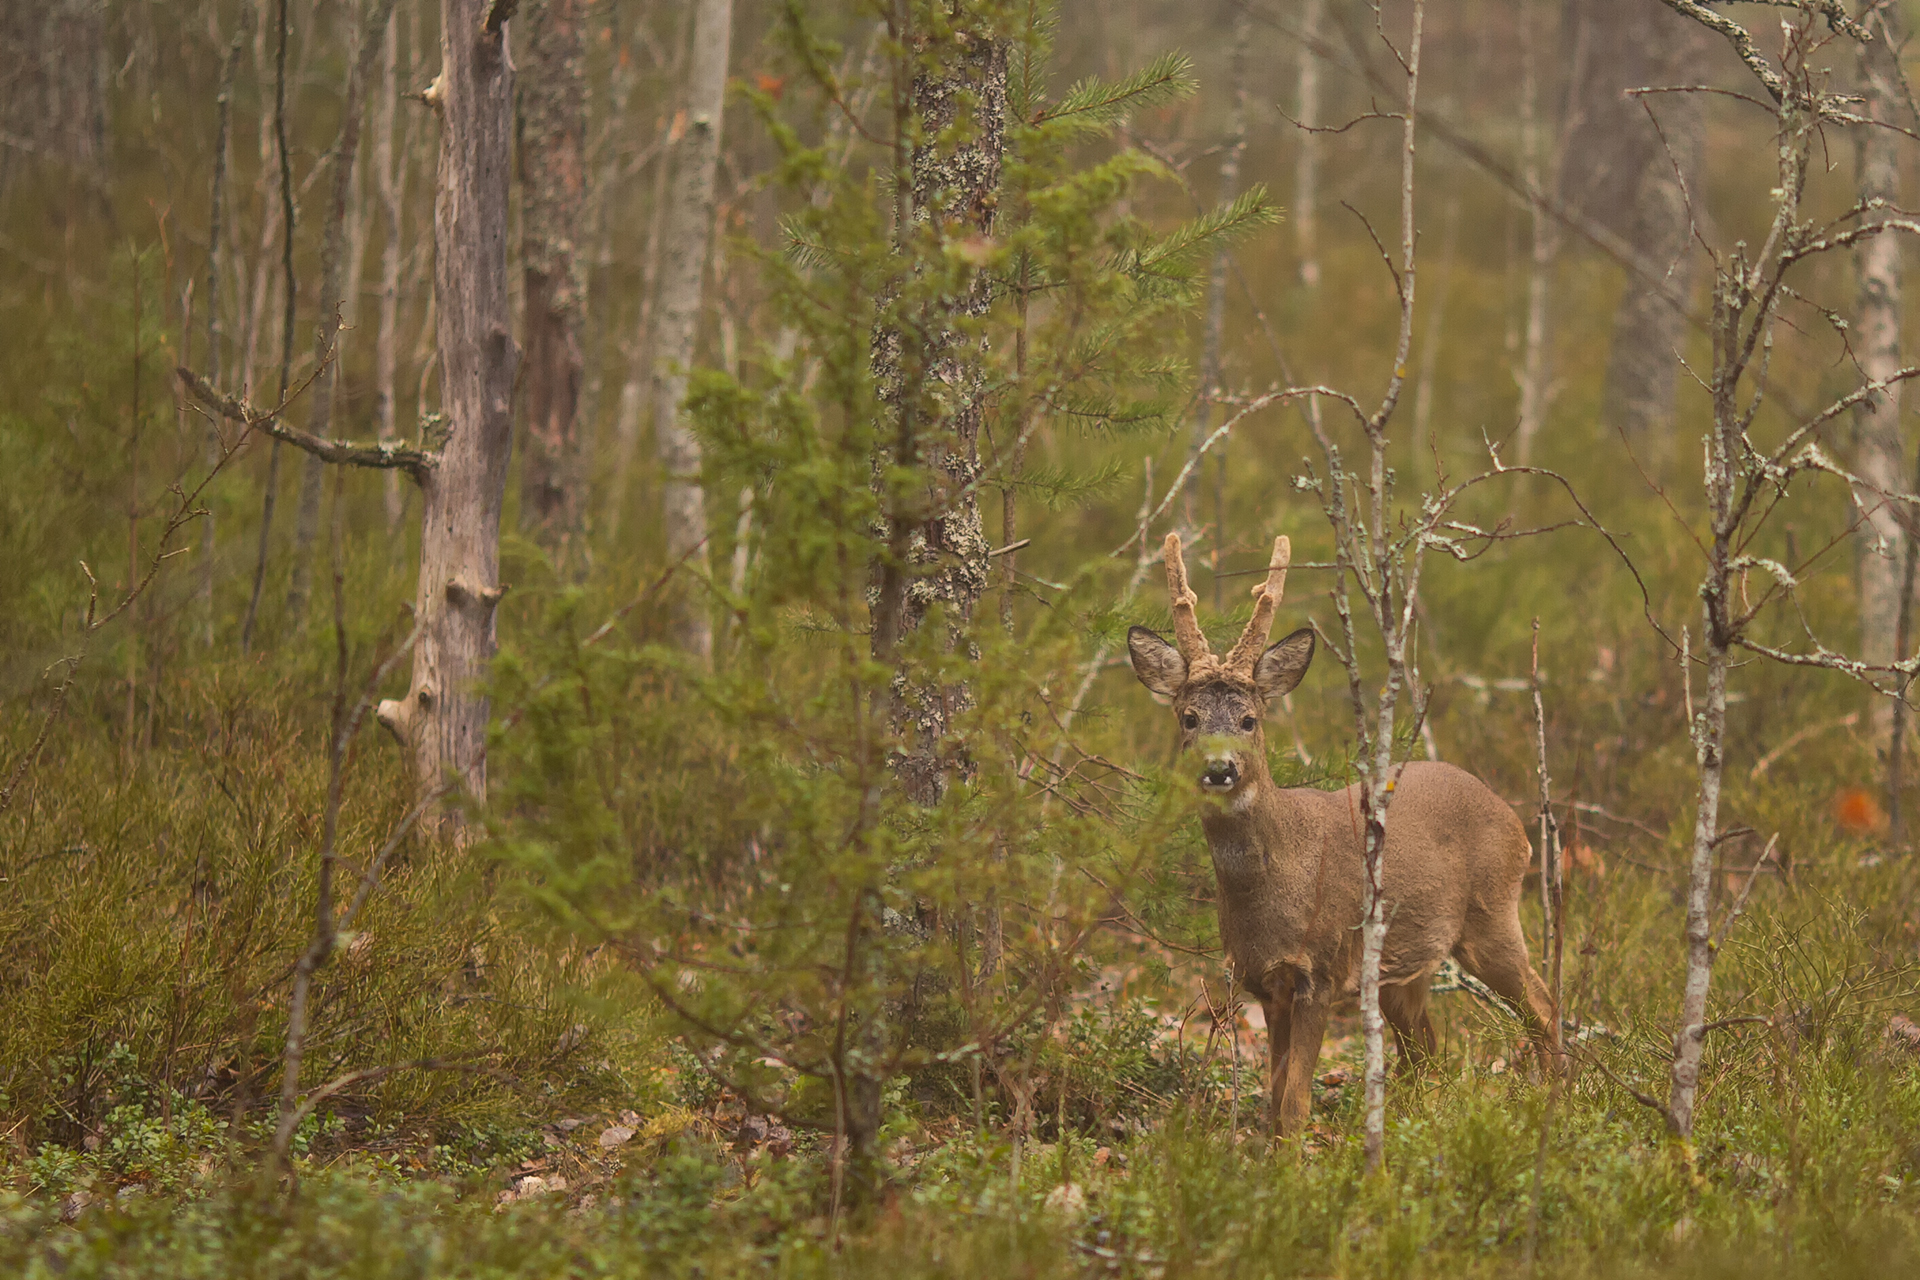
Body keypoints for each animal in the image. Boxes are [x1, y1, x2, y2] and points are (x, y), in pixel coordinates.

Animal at [1128, 537, 1551, 1136]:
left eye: (1249, 719)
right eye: (1189, 718)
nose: (1220, 769)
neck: (1272, 885)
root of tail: (1513, 819)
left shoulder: (1321, 972)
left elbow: (1294, 1105)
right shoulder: (1264, 982)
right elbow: (1273, 1099)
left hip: (1493, 913)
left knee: (1543, 1005)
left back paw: (1559, 1097)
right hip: (1403, 968)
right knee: (1426, 1051)